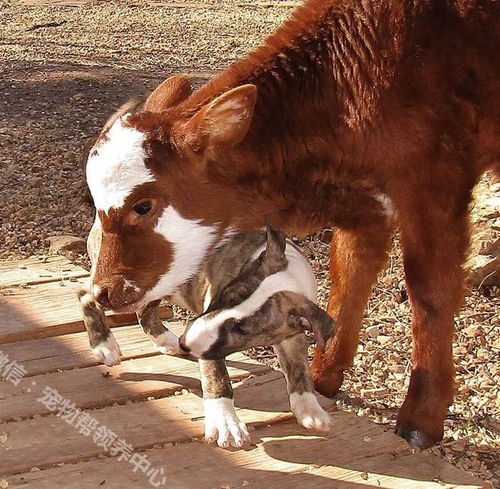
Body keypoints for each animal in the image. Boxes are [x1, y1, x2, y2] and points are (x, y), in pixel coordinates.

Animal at [86, 0, 500, 448]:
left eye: (143, 206)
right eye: (95, 204)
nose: (103, 290)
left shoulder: (436, 181)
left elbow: (430, 292)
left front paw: (422, 415)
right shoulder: (365, 205)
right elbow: (349, 275)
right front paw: (324, 377)